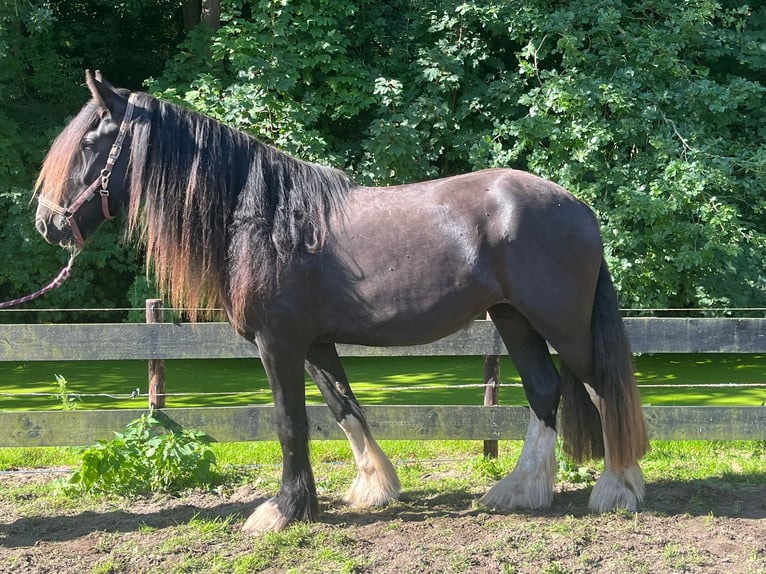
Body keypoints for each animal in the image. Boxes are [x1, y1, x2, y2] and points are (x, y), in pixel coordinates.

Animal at [35, 71, 649, 534]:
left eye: (90, 141)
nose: (47, 223)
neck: (263, 217)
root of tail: (579, 206)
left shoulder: (278, 344)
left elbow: (291, 423)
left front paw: (283, 511)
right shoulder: (316, 345)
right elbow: (344, 408)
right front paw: (374, 487)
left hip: (563, 326)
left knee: (605, 389)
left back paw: (617, 487)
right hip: (515, 320)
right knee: (545, 393)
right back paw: (519, 491)